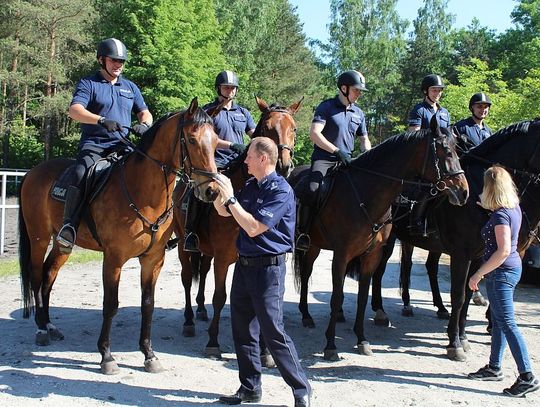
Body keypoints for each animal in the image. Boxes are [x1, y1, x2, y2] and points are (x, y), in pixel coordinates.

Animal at [18, 98, 219, 376]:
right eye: (191, 139)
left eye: (216, 141)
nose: (211, 190)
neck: (143, 193)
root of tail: (32, 172)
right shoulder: (113, 259)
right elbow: (111, 304)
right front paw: (106, 356)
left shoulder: (153, 260)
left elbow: (148, 304)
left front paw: (149, 354)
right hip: (38, 237)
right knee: (37, 276)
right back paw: (40, 328)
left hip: (62, 244)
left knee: (49, 274)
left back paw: (49, 325)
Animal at [173, 95, 302, 356]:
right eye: (268, 128)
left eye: (293, 128)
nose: (283, 166)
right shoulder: (223, 258)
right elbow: (220, 297)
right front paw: (213, 341)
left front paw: (265, 350)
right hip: (182, 244)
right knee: (187, 277)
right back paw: (189, 320)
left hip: (206, 251)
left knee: (202, 272)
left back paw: (200, 310)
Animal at [288, 117, 470, 360]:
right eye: (446, 152)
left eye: (457, 150)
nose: (463, 192)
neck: (365, 195)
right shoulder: (342, 254)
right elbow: (336, 296)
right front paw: (330, 345)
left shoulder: (371, 254)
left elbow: (363, 296)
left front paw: (362, 340)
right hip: (310, 245)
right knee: (306, 274)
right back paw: (306, 315)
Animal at [372, 119, 540, 362]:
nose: (461, 194)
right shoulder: (462, 254)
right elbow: (459, 295)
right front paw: (455, 343)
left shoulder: (481, 256)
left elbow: (469, 293)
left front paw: (463, 336)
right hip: (388, 240)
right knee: (380, 271)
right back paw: (380, 311)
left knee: (424, 267)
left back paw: (433, 308)